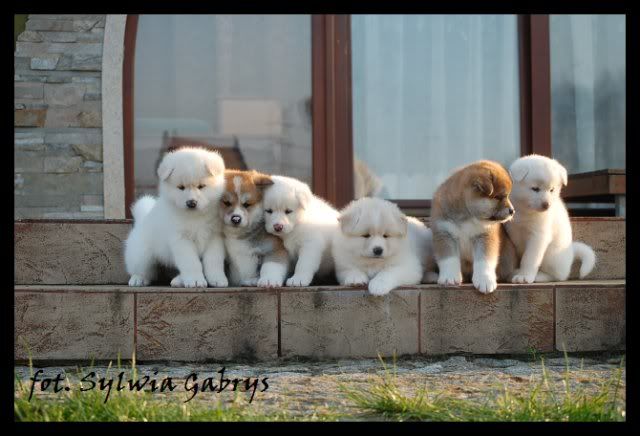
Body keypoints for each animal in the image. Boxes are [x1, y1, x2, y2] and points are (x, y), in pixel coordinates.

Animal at [124, 147, 228, 288]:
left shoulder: (215, 237)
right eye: (181, 187)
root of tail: (141, 220)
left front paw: (217, 279)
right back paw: (138, 279)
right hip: (141, 254)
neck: (195, 217)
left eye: (201, 186)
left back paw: (177, 280)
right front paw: (195, 280)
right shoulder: (181, 240)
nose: (191, 203)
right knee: (142, 270)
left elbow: (214, 261)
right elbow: (191, 262)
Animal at [431, 160, 517, 294]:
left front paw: (485, 280)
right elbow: (449, 259)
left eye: (507, 196)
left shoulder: (484, 236)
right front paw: (449, 277)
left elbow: (484, 261)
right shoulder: (444, 234)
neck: (467, 217)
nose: (512, 211)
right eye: (498, 197)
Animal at [505, 154, 596, 283]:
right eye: (535, 188)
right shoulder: (513, 231)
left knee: (558, 275)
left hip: (552, 255)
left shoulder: (539, 236)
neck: (526, 211)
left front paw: (525, 276)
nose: (547, 205)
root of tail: (571, 253)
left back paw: (538, 276)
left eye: (552, 190)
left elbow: (529, 259)